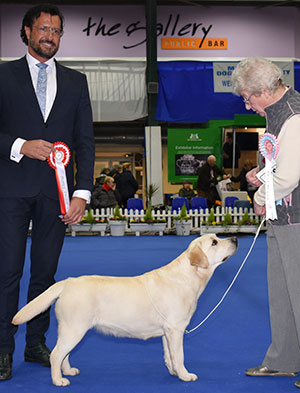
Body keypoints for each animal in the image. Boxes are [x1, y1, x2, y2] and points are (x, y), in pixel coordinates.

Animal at [11, 233, 237, 386]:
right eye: (214, 242)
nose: (235, 238)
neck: (188, 277)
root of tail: (68, 282)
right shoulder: (176, 329)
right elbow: (179, 355)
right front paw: (185, 375)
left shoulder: (167, 331)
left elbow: (169, 355)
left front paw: (174, 372)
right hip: (74, 328)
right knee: (56, 354)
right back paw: (58, 380)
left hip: (70, 329)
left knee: (64, 354)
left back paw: (68, 372)